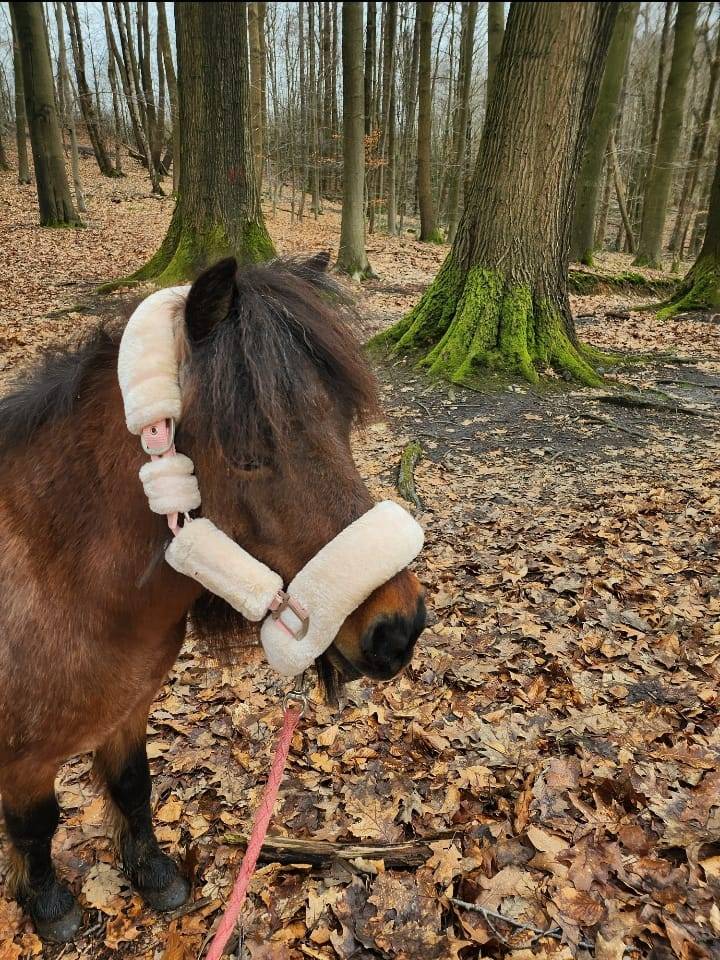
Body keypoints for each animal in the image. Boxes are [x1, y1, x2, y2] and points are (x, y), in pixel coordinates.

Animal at [0, 254, 426, 942]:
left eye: (341, 427)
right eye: (248, 454)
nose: (399, 628)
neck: (55, 572)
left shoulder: (127, 711)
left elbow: (132, 786)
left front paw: (154, 874)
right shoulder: (21, 759)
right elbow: (35, 828)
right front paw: (49, 904)